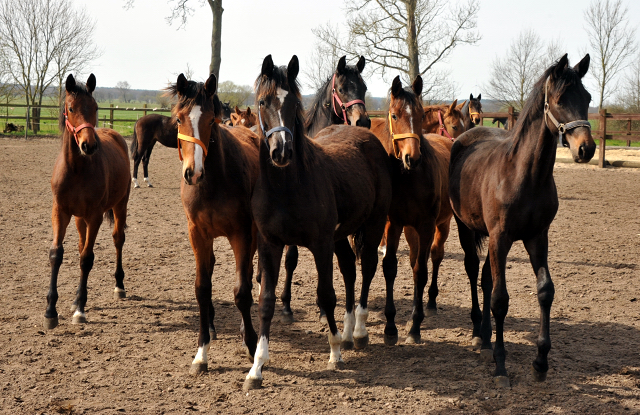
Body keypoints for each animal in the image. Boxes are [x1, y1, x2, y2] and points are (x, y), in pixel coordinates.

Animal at [44, 73, 131, 330]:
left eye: (95, 107)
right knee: (82, 243)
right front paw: (51, 312)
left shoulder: (95, 216)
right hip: (79, 218)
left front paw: (80, 310)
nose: (89, 145)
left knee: (118, 239)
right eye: (71, 108)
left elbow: (86, 259)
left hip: (120, 205)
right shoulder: (61, 212)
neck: (76, 169)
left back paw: (119, 286)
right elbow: (57, 254)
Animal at [169, 73, 264, 376]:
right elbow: (202, 288)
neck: (212, 182)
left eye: (211, 120)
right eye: (178, 119)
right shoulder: (198, 234)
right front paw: (201, 352)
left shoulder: (242, 234)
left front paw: (251, 343)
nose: (193, 172)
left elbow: (242, 291)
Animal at [246, 54, 392, 390]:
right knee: (350, 268)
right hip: (342, 236)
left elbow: (326, 294)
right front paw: (257, 367)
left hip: (374, 224)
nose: (281, 151)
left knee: (366, 267)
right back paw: (349, 332)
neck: (287, 185)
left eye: (294, 102)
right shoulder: (270, 244)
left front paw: (335, 352)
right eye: (263, 101)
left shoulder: (321, 243)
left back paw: (359, 332)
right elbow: (266, 300)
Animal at [368, 75, 452, 344]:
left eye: (420, 113)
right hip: (410, 230)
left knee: (434, 256)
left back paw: (430, 303)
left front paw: (415, 326)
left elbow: (421, 271)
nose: (411, 158)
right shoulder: (393, 225)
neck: (409, 179)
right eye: (394, 115)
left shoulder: (426, 226)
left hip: (443, 224)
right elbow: (390, 267)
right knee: (417, 257)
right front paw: (390, 327)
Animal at [450, 53, 596, 388]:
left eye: (587, 98)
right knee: (473, 270)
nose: (586, 148)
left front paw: (540, 361)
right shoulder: (501, 238)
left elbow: (545, 291)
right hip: (466, 228)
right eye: (559, 99)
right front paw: (501, 365)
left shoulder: (537, 237)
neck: (523, 175)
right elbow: (501, 299)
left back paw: (486, 337)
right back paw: (478, 334)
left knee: (485, 279)